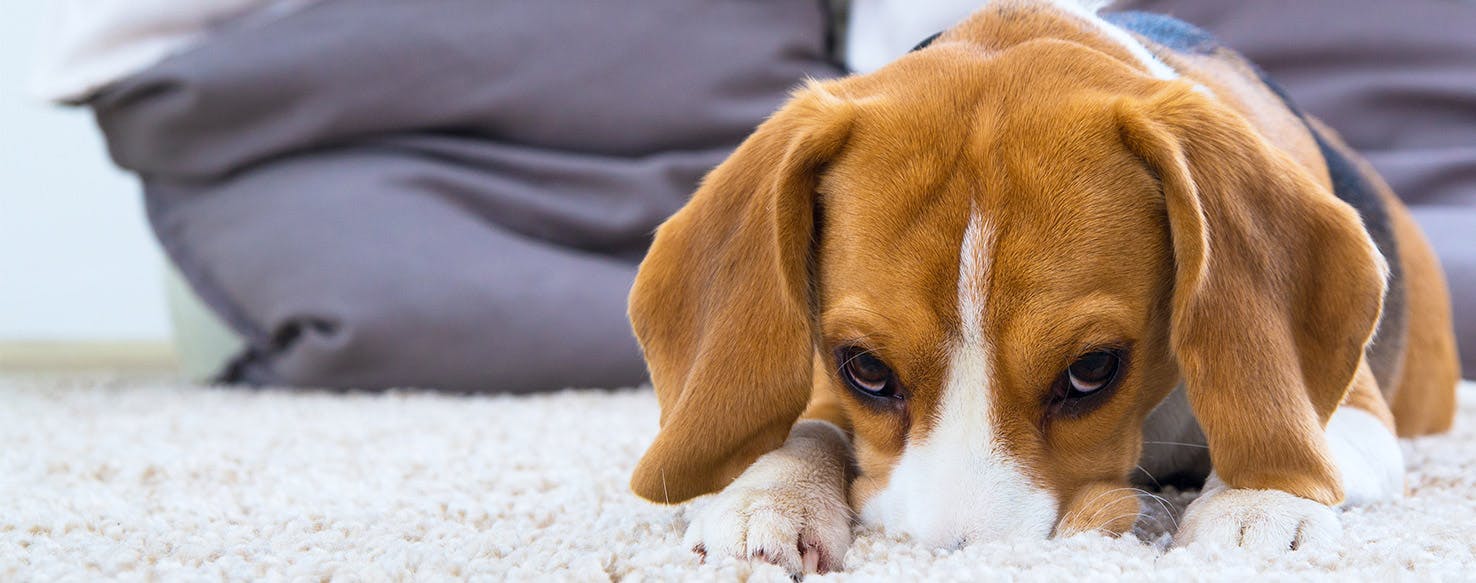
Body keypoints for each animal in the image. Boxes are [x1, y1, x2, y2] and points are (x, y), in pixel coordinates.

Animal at [625, 0, 1464, 575]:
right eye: (864, 367)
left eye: (1092, 370)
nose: (963, 556)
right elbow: (804, 426)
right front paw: (766, 496)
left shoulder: (1362, 416)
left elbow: (1286, 434)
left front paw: (1258, 502)